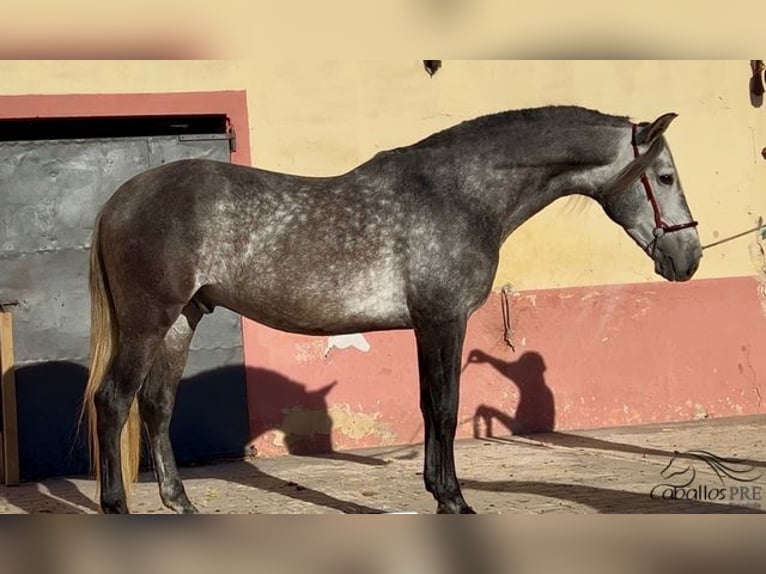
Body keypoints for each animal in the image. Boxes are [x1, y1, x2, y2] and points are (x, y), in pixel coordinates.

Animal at [82, 106, 704, 516]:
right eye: (666, 176)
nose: (689, 258)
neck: (458, 195)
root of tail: (120, 198)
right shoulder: (442, 321)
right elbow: (444, 409)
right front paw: (454, 500)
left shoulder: (430, 327)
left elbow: (432, 409)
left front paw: (440, 492)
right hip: (148, 322)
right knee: (113, 402)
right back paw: (117, 506)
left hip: (182, 320)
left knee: (157, 406)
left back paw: (180, 503)